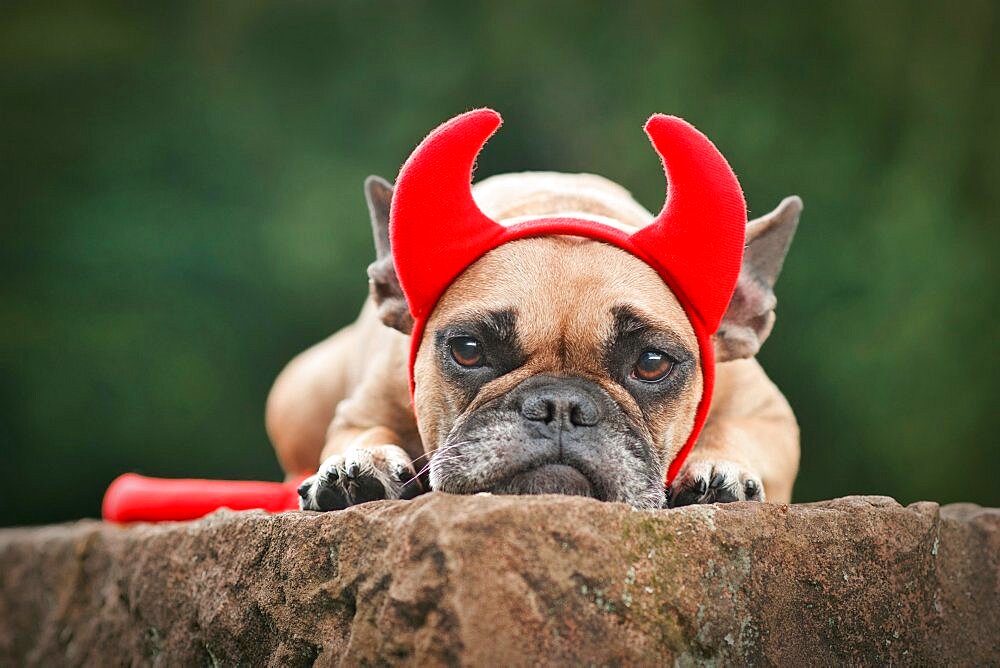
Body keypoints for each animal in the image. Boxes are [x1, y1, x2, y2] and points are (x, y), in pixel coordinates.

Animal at [270, 125, 800, 508]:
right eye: (468, 350)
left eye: (652, 363)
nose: (561, 407)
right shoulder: (363, 406)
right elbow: (364, 429)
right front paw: (361, 461)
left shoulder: (768, 414)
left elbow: (737, 431)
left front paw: (718, 469)